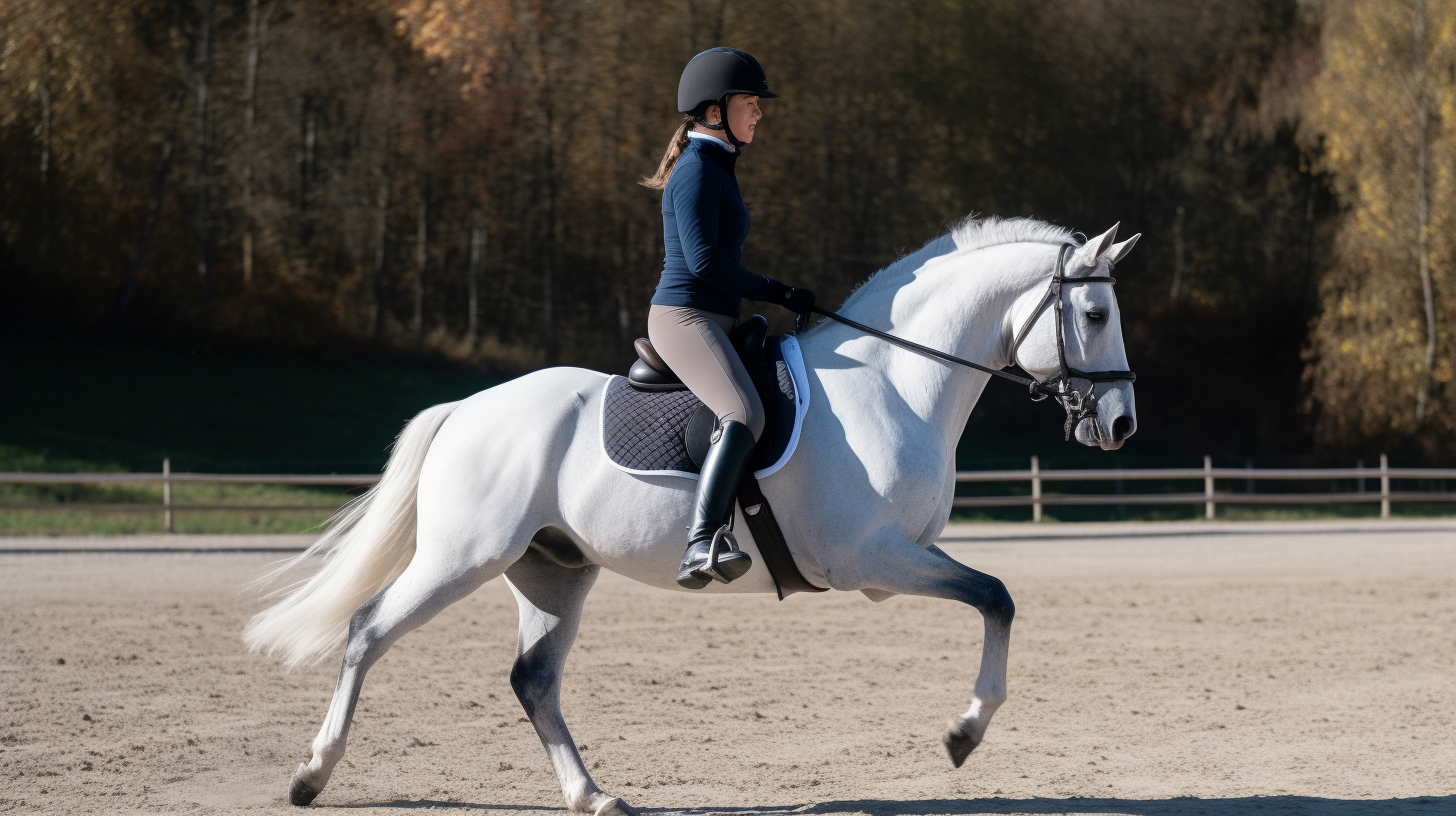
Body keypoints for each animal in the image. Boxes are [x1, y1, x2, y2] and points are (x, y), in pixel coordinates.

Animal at [247, 218, 1135, 816]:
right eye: (1094, 316)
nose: (1121, 425)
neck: (894, 381)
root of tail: (467, 408)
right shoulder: (872, 558)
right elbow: (995, 597)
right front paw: (964, 734)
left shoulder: (895, 559)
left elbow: (994, 599)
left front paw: (965, 731)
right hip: (460, 558)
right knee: (367, 630)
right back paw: (312, 773)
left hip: (552, 570)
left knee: (534, 680)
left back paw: (593, 796)